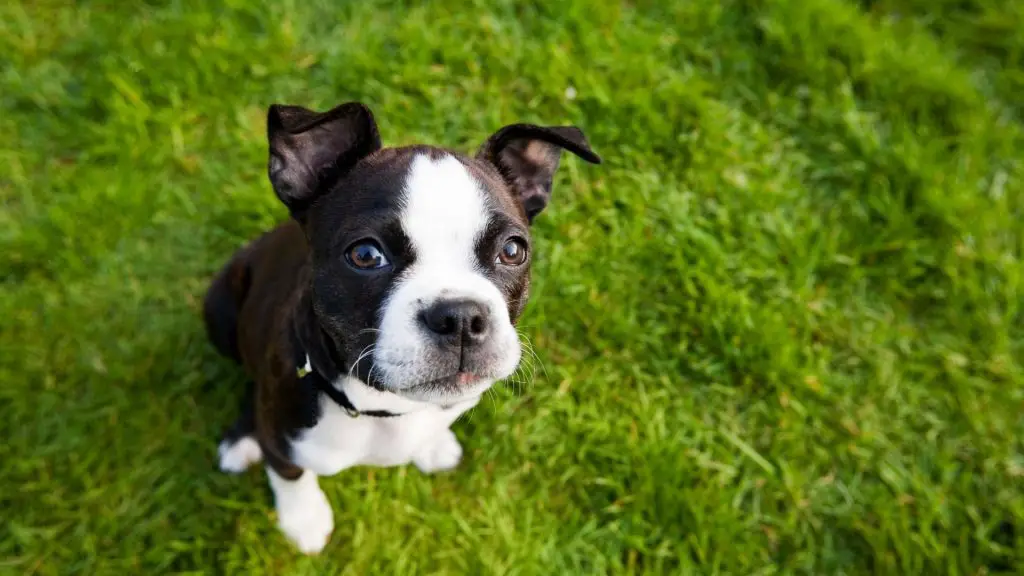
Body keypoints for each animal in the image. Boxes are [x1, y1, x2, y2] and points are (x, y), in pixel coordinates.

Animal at [202, 101, 598, 553]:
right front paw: (304, 520)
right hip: (219, 309)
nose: (461, 317)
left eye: (513, 251)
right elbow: (290, 475)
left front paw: (433, 444)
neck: (385, 408)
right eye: (365, 255)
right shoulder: (282, 439)